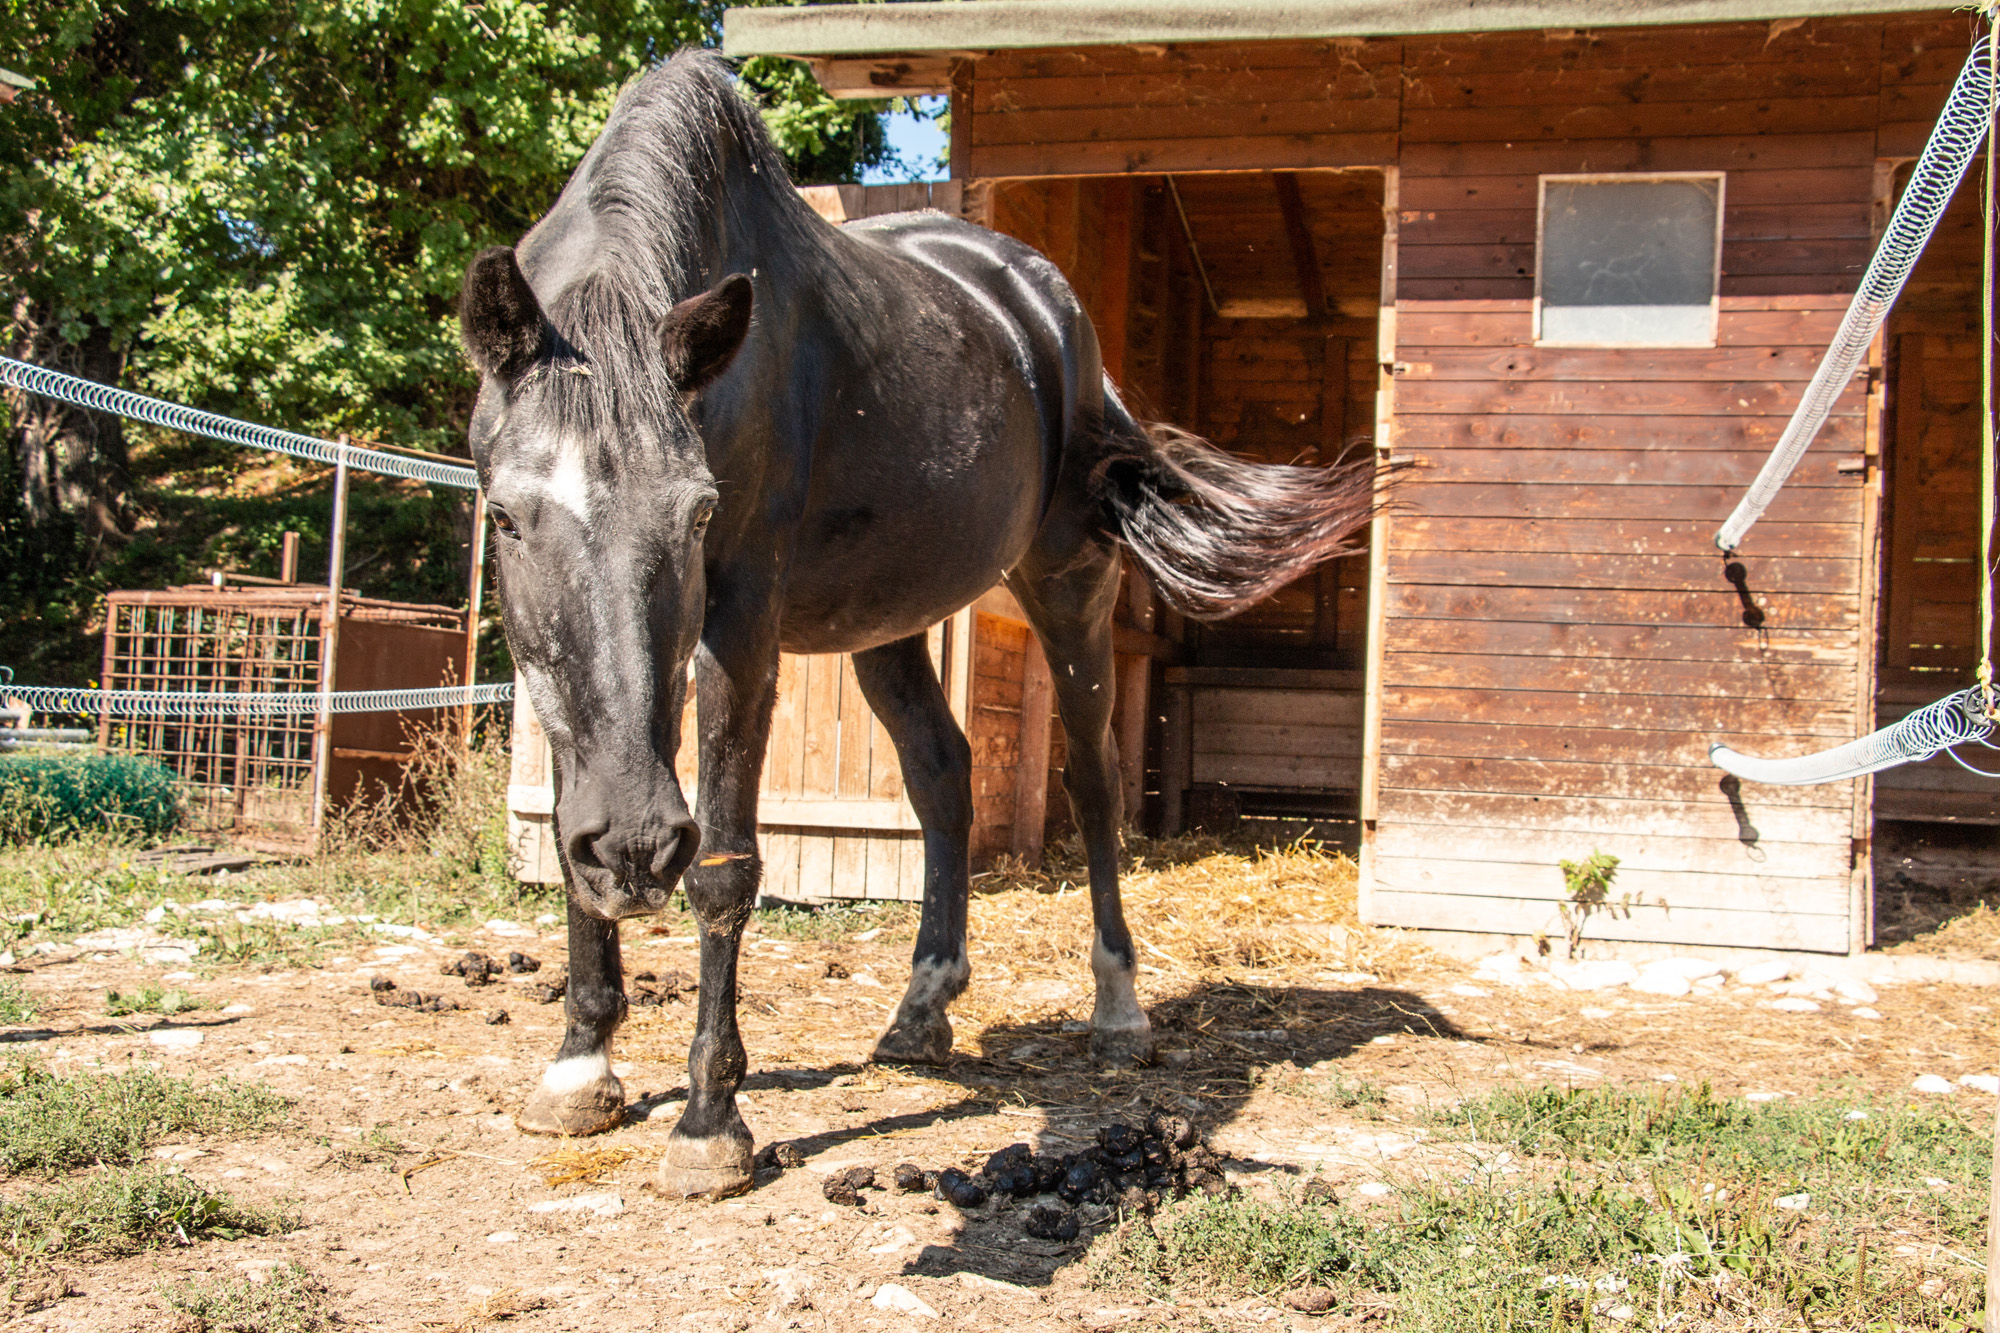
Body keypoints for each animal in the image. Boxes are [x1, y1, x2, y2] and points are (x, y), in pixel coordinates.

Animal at [458, 52, 1368, 1192]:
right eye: (505, 514)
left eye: (700, 512)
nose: (634, 848)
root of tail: (1048, 312)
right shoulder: (569, 661)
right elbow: (570, 828)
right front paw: (580, 1065)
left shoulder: (737, 624)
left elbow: (725, 864)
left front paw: (710, 1122)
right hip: (884, 621)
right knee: (942, 773)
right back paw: (922, 1005)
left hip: (1067, 583)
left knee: (1092, 783)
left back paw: (1118, 1010)